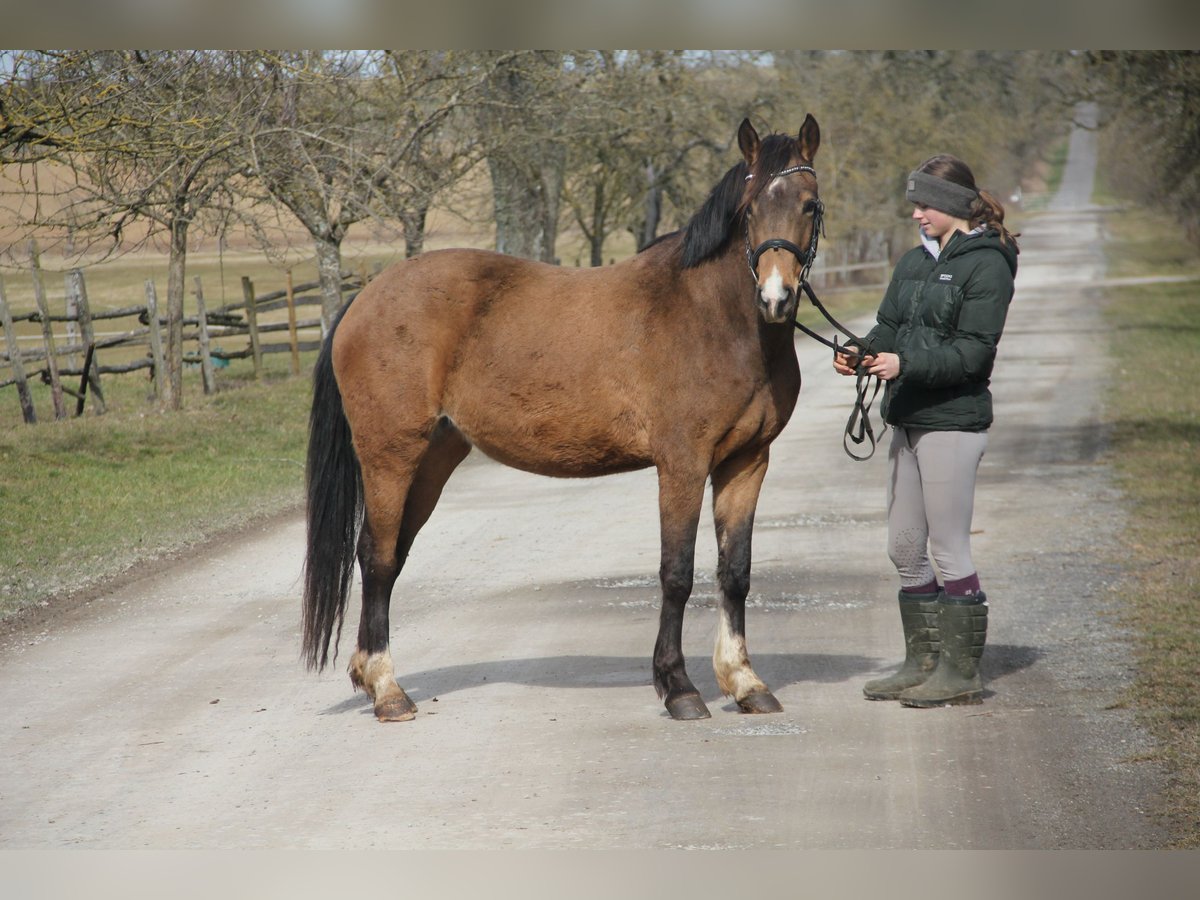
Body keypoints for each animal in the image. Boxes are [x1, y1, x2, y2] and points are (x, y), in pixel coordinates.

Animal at [304, 116, 820, 724]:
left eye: (809, 204)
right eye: (749, 208)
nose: (776, 297)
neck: (712, 317)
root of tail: (364, 299)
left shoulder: (746, 461)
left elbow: (734, 572)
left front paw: (744, 681)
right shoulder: (683, 465)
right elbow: (676, 572)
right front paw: (679, 688)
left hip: (433, 458)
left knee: (391, 556)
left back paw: (369, 676)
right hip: (390, 456)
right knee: (378, 557)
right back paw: (387, 691)